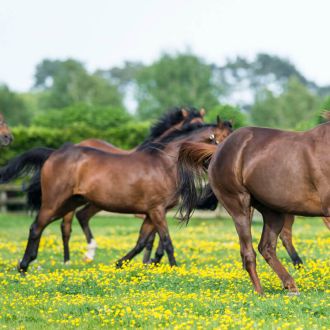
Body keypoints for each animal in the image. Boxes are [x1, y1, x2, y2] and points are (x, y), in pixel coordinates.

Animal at [0, 117, 232, 272]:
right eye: (223, 139)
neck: (164, 164)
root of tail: (54, 153)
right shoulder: (157, 210)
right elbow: (166, 241)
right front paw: (174, 268)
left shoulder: (152, 213)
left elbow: (141, 242)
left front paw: (121, 263)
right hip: (54, 202)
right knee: (37, 227)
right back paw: (24, 265)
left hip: (69, 202)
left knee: (50, 225)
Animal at [179, 122, 330, 296]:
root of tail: (218, 150)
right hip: (239, 208)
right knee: (248, 252)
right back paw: (261, 293)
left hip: (273, 213)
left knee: (266, 247)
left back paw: (291, 286)